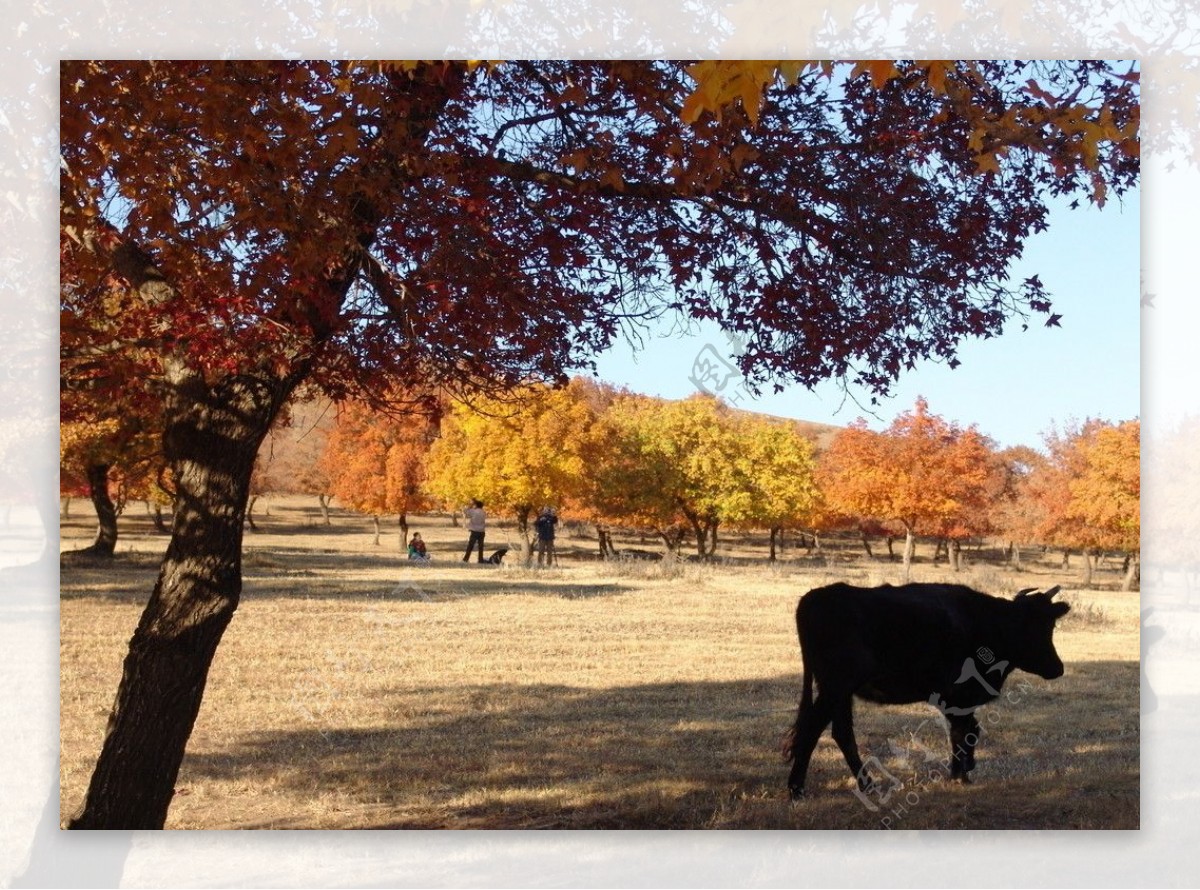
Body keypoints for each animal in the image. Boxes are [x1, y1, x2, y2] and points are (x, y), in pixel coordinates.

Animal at [787, 585, 1070, 801]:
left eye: (1050, 624)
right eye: (1035, 626)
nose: (1058, 668)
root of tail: (815, 597)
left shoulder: (955, 700)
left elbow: (970, 730)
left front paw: (965, 769)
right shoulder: (961, 696)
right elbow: (962, 733)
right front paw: (959, 776)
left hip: (839, 693)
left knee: (841, 732)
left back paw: (866, 785)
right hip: (836, 687)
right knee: (814, 729)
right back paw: (797, 789)